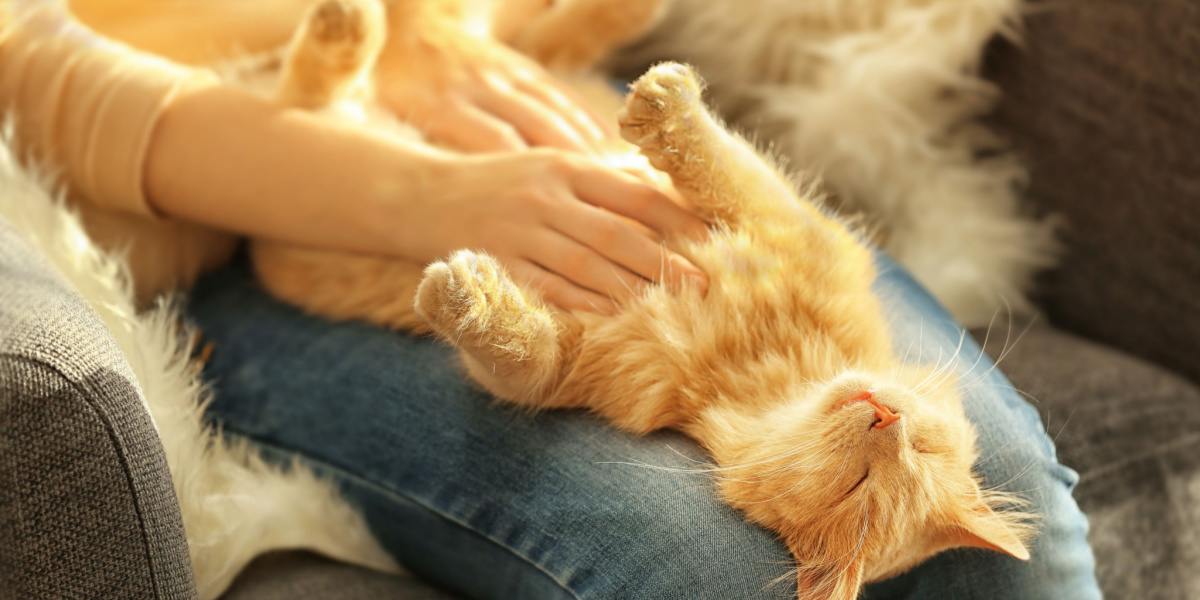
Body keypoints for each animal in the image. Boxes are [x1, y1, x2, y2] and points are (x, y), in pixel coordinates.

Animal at [189, 1, 1041, 600]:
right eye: (917, 447)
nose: (885, 413)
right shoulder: (787, 222)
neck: (747, 370)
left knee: (309, 96)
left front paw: (468, 298)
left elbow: (517, 351)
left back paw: (349, 31)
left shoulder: (576, 367)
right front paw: (669, 107)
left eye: (869, 485)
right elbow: (722, 162)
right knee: (470, 45)